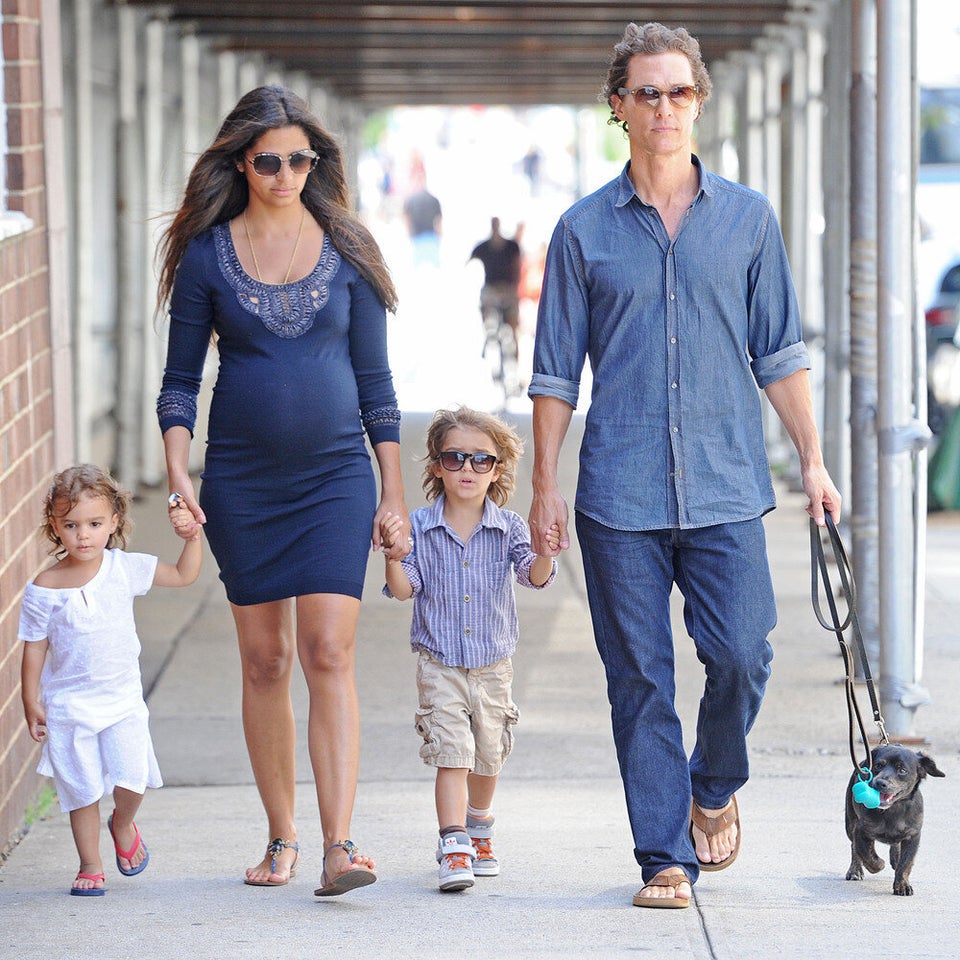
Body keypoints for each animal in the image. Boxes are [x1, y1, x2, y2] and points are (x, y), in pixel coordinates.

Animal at [848, 748, 944, 896]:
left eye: (902, 770)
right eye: (878, 765)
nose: (880, 782)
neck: (893, 810)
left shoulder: (913, 836)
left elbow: (905, 863)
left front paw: (902, 885)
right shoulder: (860, 830)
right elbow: (866, 854)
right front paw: (878, 864)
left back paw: (895, 857)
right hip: (850, 824)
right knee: (854, 848)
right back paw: (855, 870)